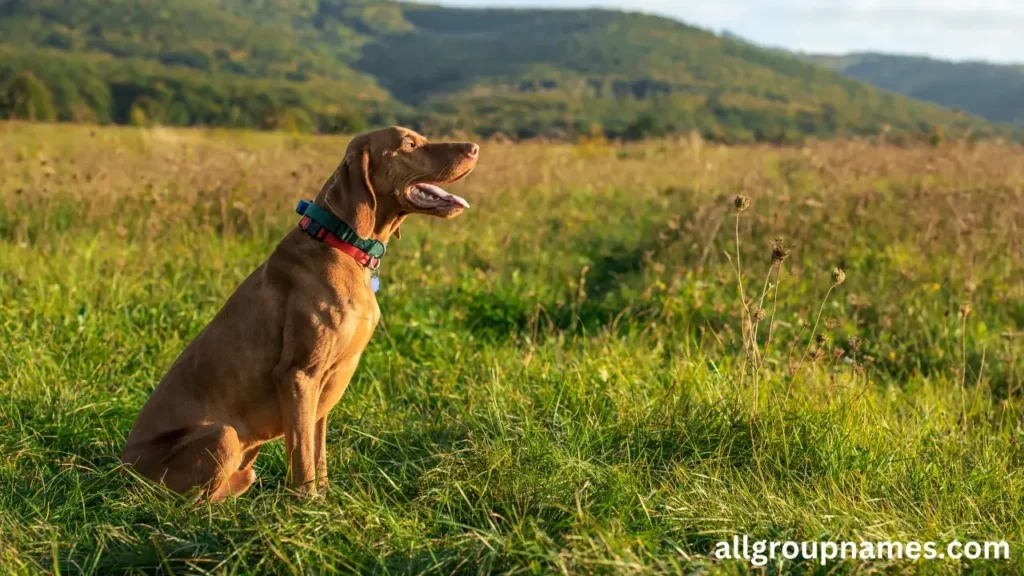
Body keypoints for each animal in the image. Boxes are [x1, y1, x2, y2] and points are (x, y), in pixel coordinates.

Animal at [121, 125, 481, 498]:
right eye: (410, 144)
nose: (474, 148)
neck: (342, 242)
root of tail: (123, 469)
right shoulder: (298, 375)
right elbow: (303, 455)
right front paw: (307, 502)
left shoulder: (328, 383)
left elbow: (317, 451)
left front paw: (325, 498)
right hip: (223, 435)